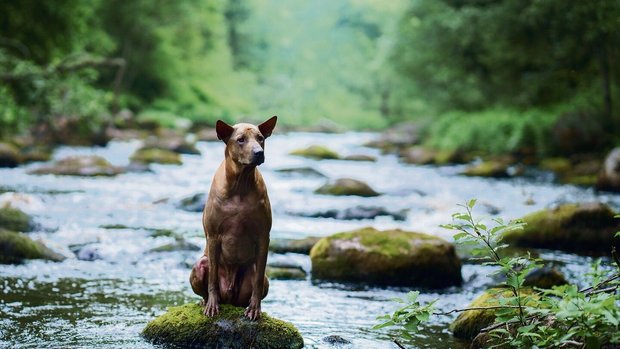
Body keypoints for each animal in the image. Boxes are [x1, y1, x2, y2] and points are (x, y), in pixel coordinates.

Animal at [189, 115, 276, 320]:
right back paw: (205, 301)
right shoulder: (213, 236)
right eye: (241, 139)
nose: (259, 153)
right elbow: (212, 279)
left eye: (261, 138)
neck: (240, 185)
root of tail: (230, 298)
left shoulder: (263, 236)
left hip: (255, 277)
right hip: (199, 265)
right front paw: (212, 305)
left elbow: (258, 280)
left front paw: (255, 308)